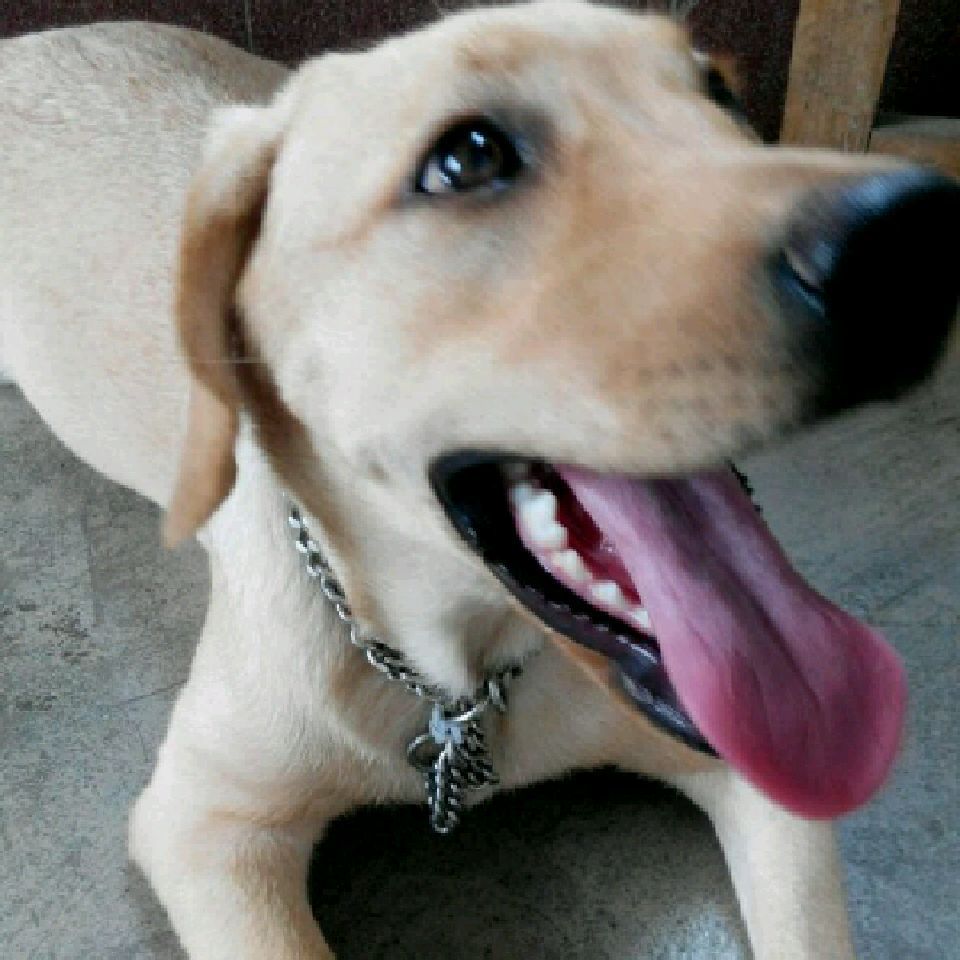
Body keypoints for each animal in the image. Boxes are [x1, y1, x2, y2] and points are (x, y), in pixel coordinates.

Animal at [2, 3, 958, 958]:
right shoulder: (205, 824)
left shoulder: (764, 776)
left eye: (719, 90)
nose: (910, 241)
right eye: (468, 157)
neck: (459, 676)